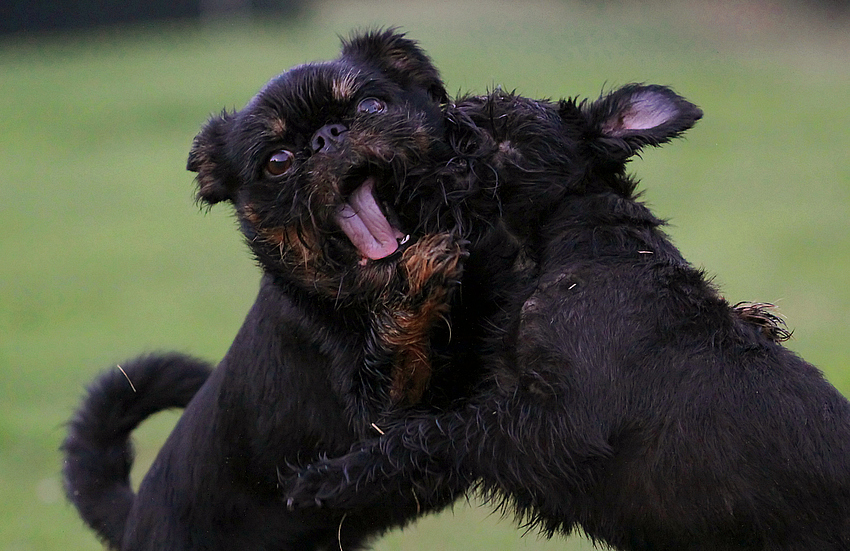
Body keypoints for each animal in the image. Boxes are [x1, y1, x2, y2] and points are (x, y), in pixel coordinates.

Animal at [64, 31, 516, 551]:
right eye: (277, 163)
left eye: (372, 106)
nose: (328, 137)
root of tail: (133, 517)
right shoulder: (387, 424)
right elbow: (402, 351)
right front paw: (417, 281)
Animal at [284, 86, 848, 551]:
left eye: (497, 121)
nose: (392, 126)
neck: (569, 244)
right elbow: (407, 406)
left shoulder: (558, 426)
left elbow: (439, 433)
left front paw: (326, 480)